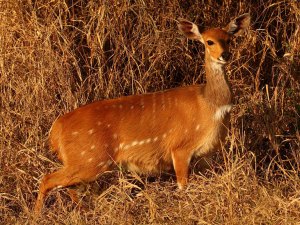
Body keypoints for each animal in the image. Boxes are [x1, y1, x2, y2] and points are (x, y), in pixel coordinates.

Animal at [34, 12, 251, 213]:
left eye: (229, 39)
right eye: (209, 41)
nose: (225, 55)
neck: (211, 106)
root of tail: (56, 130)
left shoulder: (206, 155)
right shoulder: (180, 148)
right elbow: (183, 186)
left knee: (69, 187)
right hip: (88, 160)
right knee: (48, 179)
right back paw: (37, 215)